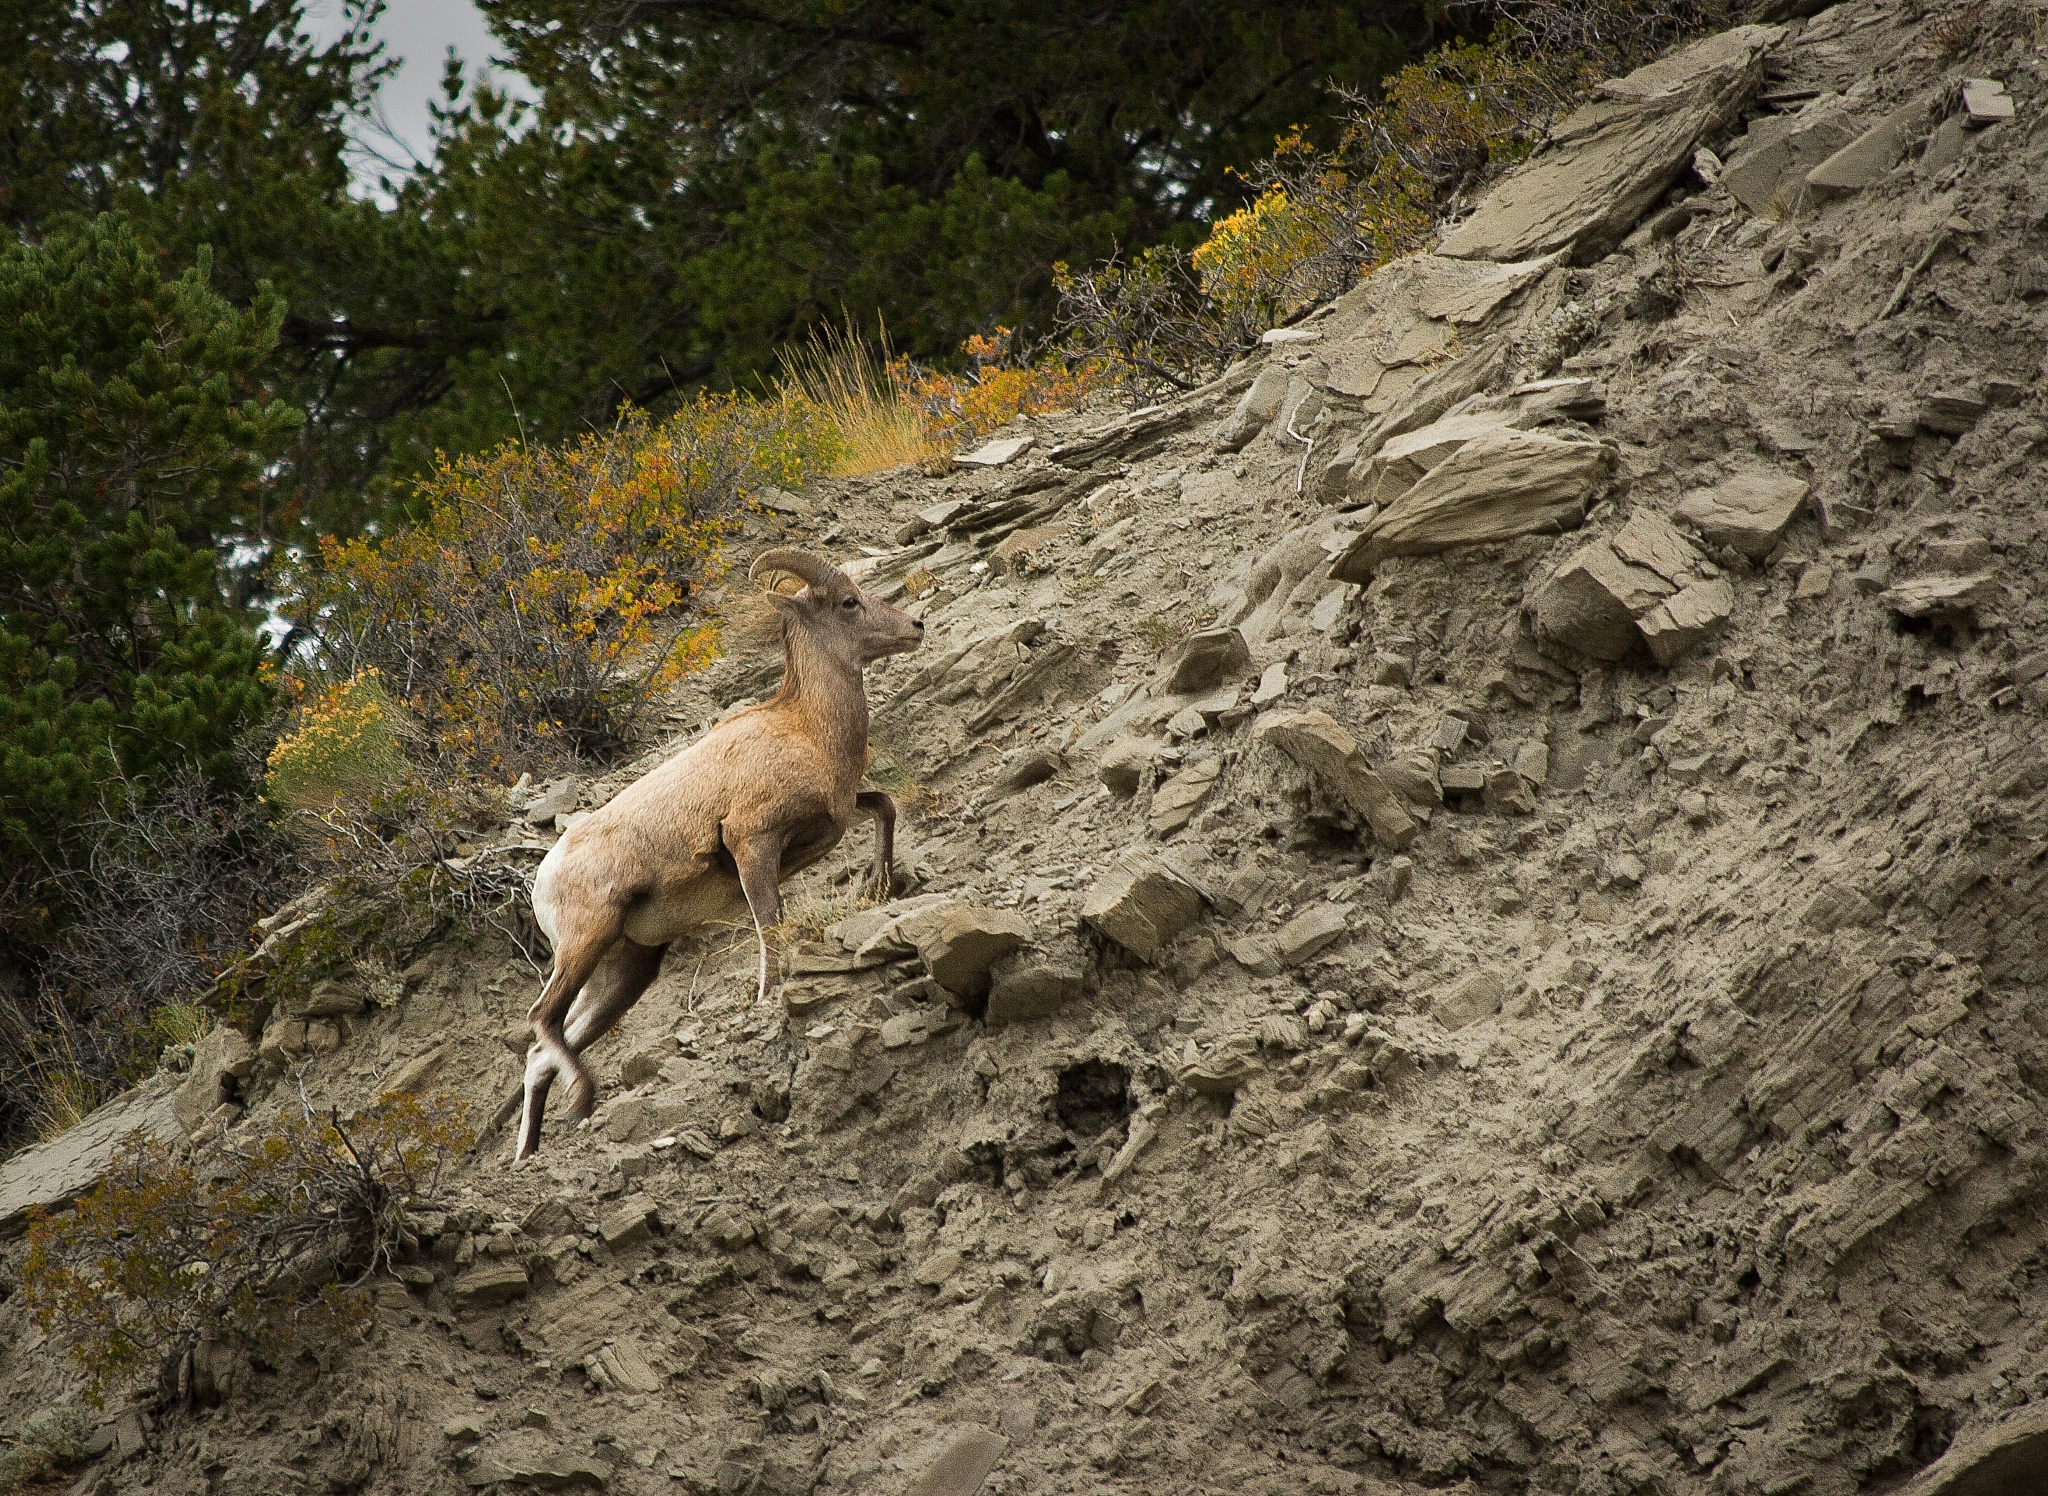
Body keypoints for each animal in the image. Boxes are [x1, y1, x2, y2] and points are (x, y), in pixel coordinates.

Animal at [514, 547, 924, 1161]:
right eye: (849, 602)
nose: (915, 626)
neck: (806, 729)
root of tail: (542, 881)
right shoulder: (752, 843)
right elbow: (770, 927)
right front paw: (767, 1000)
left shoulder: (837, 813)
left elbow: (885, 806)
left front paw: (877, 883)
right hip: (588, 940)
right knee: (542, 1020)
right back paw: (583, 1098)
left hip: (623, 972)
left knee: (543, 1053)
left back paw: (530, 1154)